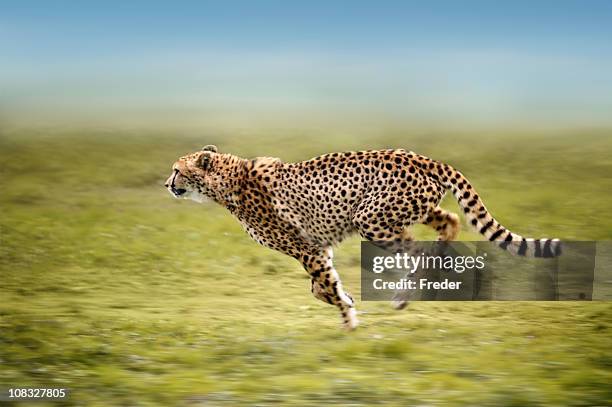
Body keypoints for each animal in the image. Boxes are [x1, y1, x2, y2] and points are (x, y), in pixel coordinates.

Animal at [166, 145, 560, 330]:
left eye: (177, 170)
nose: (168, 184)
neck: (228, 181)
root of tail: (418, 156)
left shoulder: (307, 250)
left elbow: (323, 284)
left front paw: (349, 321)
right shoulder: (317, 248)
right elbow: (320, 287)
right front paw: (348, 301)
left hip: (372, 219)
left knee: (419, 250)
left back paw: (405, 295)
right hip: (414, 209)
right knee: (448, 222)